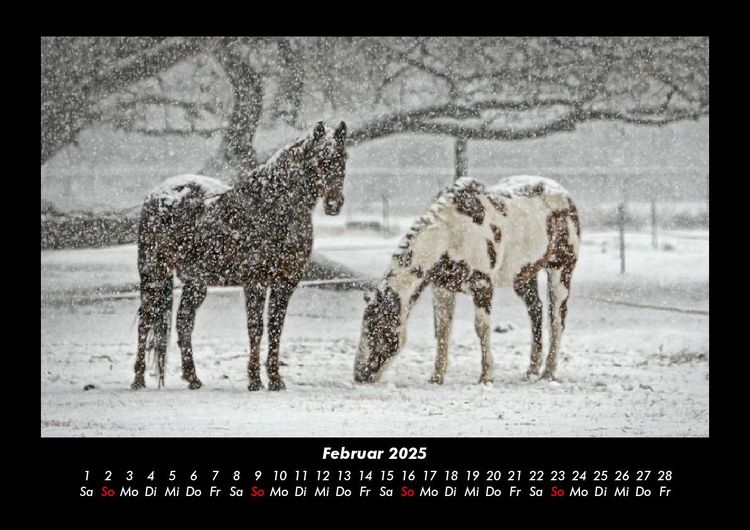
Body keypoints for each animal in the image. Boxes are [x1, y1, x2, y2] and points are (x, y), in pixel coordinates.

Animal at [131, 120, 347, 391]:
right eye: (320, 159)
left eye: (343, 158)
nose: (334, 204)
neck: (273, 207)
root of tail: (157, 195)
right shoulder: (255, 282)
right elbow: (256, 328)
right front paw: (254, 380)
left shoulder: (285, 283)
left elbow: (275, 328)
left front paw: (275, 379)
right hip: (153, 274)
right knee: (145, 320)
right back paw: (138, 379)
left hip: (195, 283)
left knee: (183, 322)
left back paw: (193, 378)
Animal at [353, 175, 580, 385]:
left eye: (378, 329)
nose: (359, 375)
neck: (450, 234)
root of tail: (565, 195)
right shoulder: (442, 289)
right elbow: (443, 331)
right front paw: (437, 377)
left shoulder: (482, 286)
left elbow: (481, 329)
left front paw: (486, 377)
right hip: (523, 276)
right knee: (536, 311)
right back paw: (532, 370)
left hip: (560, 271)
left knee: (557, 319)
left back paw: (549, 372)